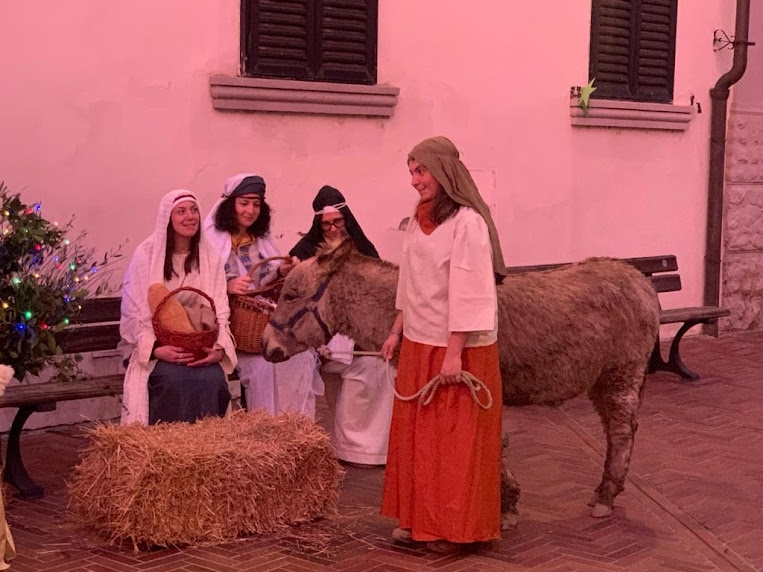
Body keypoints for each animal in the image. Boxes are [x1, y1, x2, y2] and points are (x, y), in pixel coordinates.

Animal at [262, 238, 660, 527]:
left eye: (290, 295)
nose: (267, 348)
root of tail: (638, 278)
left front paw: (501, 506)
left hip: (621, 371)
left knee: (622, 431)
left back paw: (606, 497)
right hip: (600, 379)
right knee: (614, 430)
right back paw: (603, 490)